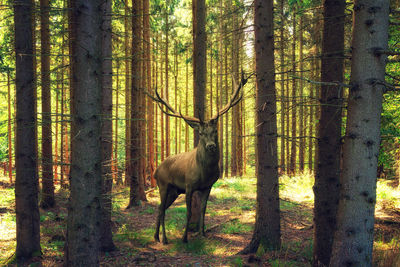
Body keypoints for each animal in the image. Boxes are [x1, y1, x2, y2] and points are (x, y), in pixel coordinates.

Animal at [149, 73, 248, 245]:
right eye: (201, 133)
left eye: (215, 131)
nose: (211, 146)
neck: (204, 173)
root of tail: (156, 170)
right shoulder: (189, 186)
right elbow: (189, 212)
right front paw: (184, 238)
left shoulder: (208, 186)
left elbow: (203, 210)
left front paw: (202, 233)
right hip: (163, 185)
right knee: (161, 208)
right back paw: (164, 238)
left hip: (174, 191)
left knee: (161, 208)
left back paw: (156, 236)